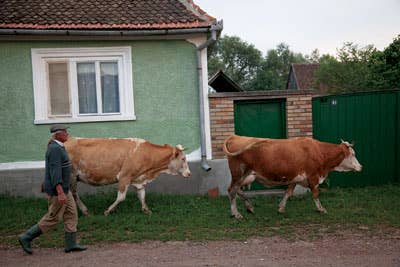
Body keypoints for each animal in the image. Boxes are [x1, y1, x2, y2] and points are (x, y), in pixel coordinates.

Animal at [223, 135, 360, 219]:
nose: (361, 167)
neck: (319, 151)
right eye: (353, 154)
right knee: (232, 191)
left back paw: (249, 207)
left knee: (237, 190)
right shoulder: (313, 177)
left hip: (246, 176)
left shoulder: (296, 177)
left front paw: (281, 208)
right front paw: (321, 209)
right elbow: (315, 194)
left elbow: (288, 192)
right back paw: (236, 214)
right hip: (239, 174)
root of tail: (234, 136)